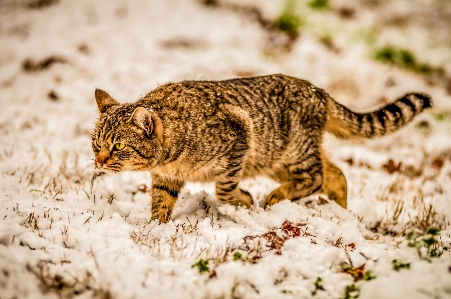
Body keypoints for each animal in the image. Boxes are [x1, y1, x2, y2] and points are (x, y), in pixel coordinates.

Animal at [91, 74, 430, 224]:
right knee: (335, 172)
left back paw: (276, 197)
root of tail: (319, 91)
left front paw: (244, 200)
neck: (170, 160)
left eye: (118, 145)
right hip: (280, 159)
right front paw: (155, 229)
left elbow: (225, 189)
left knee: (317, 176)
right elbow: (160, 204)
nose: (99, 161)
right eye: (96, 143)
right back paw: (340, 210)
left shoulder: (239, 140)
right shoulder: (166, 178)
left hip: (293, 152)